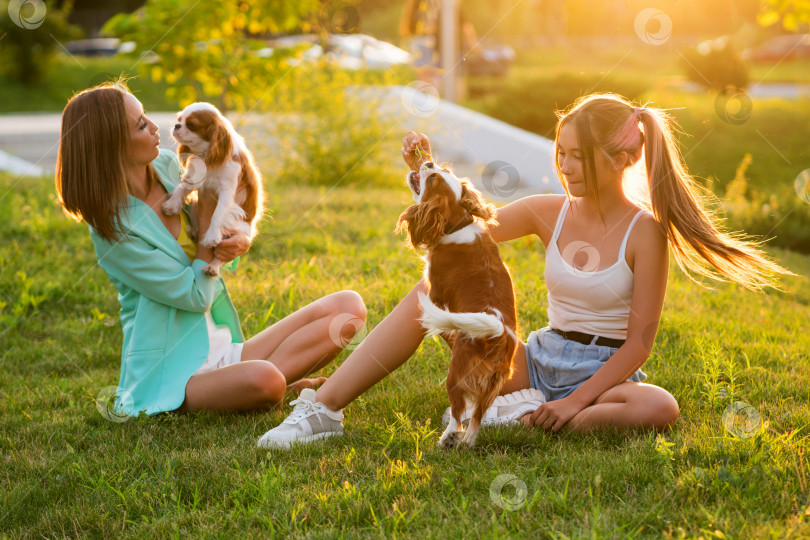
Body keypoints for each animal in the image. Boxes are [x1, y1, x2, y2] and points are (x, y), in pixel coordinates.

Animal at [163, 102, 264, 278]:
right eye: (179, 119)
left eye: (191, 125)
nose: (176, 126)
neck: (207, 153)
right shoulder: (195, 175)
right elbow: (181, 187)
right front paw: (172, 205)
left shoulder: (227, 190)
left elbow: (218, 213)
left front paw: (211, 236)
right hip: (195, 206)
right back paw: (195, 232)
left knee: (221, 255)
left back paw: (212, 267)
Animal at [398, 162, 516, 450]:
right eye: (443, 170)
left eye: (433, 178)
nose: (428, 163)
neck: (458, 226)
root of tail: (498, 335)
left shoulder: (436, 293)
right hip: (492, 385)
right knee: (476, 419)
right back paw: (467, 443)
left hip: (456, 374)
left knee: (458, 410)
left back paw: (447, 438)